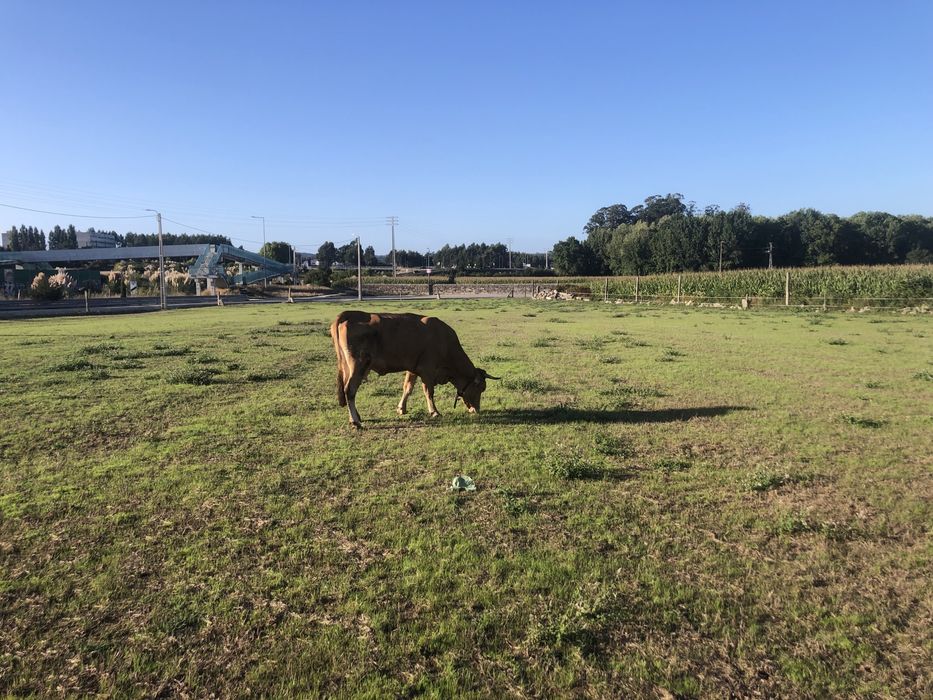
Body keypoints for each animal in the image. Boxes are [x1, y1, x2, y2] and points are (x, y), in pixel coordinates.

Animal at [330, 310, 498, 428]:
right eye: (480, 388)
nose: (476, 410)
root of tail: (349, 314)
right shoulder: (428, 370)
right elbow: (429, 392)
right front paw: (434, 411)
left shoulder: (413, 368)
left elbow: (408, 388)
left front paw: (401, 408)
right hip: (358, 365)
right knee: (350, 390)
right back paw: (355, 421)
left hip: (347, 367)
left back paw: (356, 417)